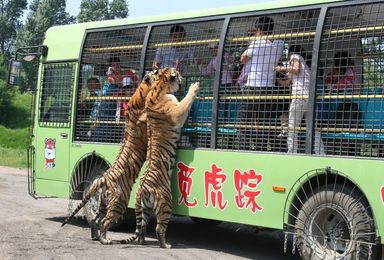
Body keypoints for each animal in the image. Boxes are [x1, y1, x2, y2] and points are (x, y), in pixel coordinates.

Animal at [61, 69, 160, 244]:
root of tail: (103, 179)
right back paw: (105, 239)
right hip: (118, 200)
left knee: (97, 220)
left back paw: (96, 236)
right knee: (105, 220)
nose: (156, 70)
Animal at [121, 67, 201, 248]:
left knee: (142, 227)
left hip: (144, 208)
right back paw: (166, 245)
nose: (183, 77)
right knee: (159, 228)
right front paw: (194, 86)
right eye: (178, 74)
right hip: (166, 204)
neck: (159, 85)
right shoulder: (176, 112)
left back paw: (143, 241)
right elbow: (185, 102)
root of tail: (142, 189)